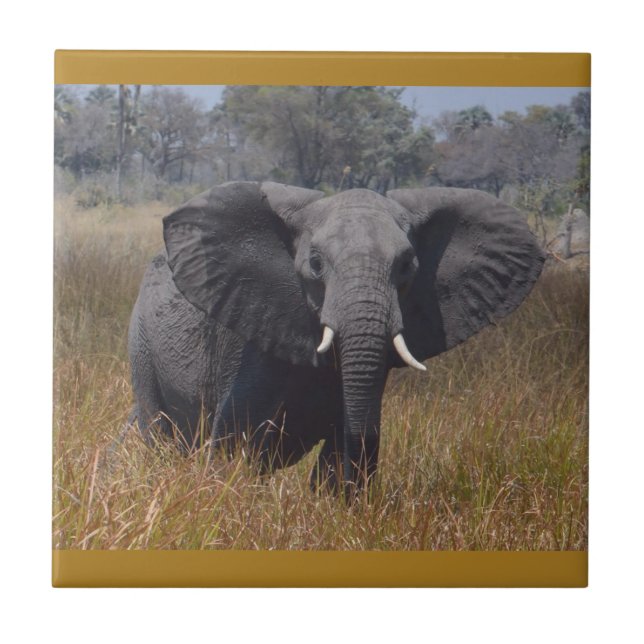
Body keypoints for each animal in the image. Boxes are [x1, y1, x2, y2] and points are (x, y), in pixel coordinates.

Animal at [128, 181, 545, 496]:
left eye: (407, 265)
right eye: (315, 264)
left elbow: (336, 460)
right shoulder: (250, 344)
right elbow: (234, 440)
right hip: (142, 344)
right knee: (156, 433)